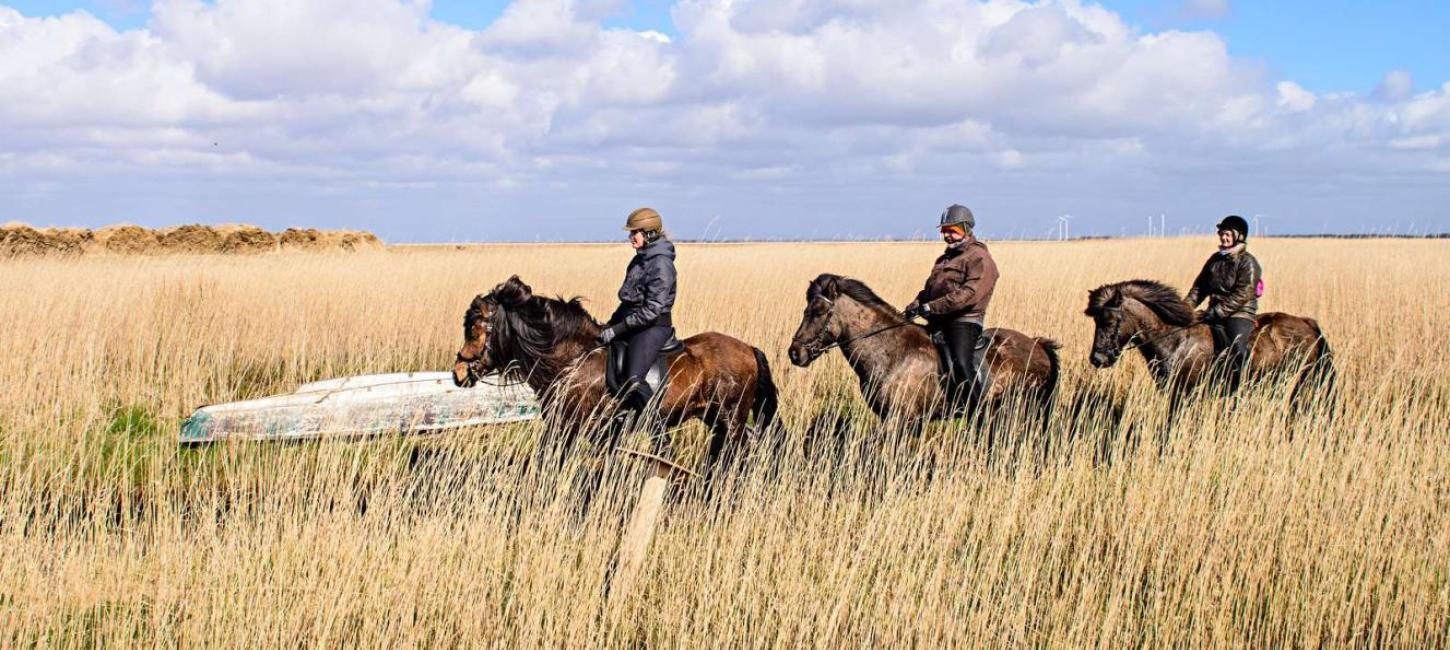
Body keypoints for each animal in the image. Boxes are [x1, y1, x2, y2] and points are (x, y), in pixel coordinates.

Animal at [455, 275, 783, 472]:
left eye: (473, 328)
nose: (458, 372)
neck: (573, 360)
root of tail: (748, 348)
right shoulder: (576, 430)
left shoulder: (579, 428)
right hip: (716, 419)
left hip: (731, 417)